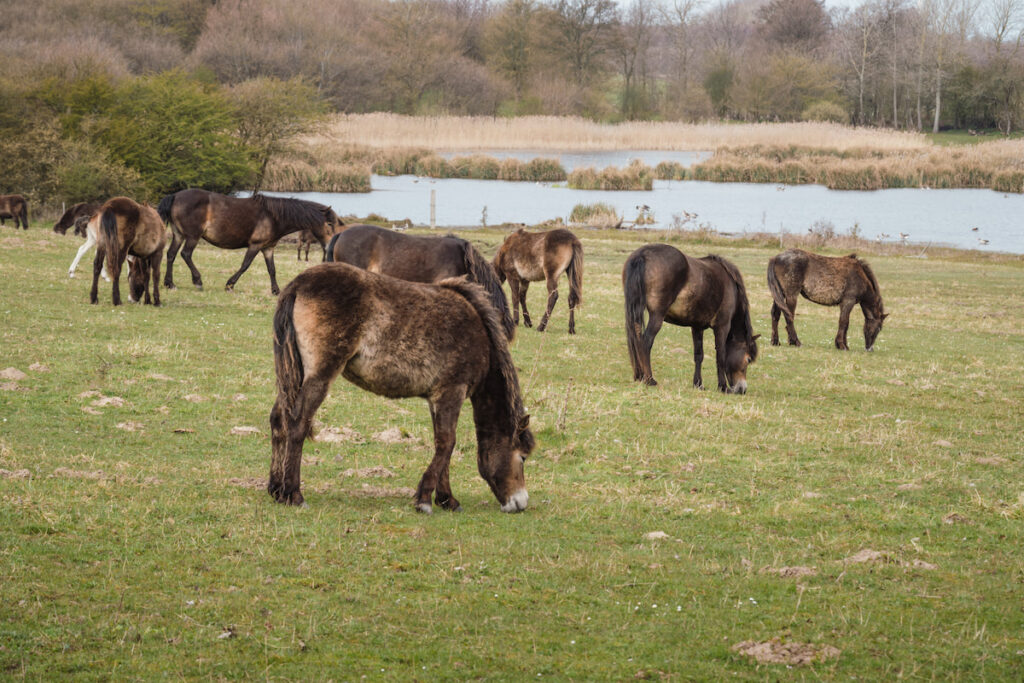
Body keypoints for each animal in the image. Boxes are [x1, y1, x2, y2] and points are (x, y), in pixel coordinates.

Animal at [156, 189, 331, 294]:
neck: (273, 217)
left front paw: (276, 291)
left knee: (171, 255)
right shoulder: (255, 245)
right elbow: (245, 265)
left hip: (179, 235)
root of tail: (175, 196)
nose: (329, 247)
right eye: (329, 225)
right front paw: (230, 285)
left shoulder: (268, 248)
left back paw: (170, 284)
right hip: (193, 236)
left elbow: (272, 269)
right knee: (186, 254)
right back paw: (197, 281)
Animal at [270, 262, 536, 511]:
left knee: (279, 420)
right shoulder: (452, 392)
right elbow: (447, 443)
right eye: (522, 457)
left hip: (296, 375)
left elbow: (442, 444)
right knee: (298, 423)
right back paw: (293, 494)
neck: (480, 336)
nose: (520, 502)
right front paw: (425, 499)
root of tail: (298, 284)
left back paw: (276, 489)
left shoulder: (436, 398)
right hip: (320, 375)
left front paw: (447, 499)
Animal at [618, 244, 757, 395]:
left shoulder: (697, 326)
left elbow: (698, 355)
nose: (742, 389)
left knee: (636, 339)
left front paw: (698, 384)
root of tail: (642, 255)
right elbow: (720, 356)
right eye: (748, 359)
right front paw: (722, 386)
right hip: (657, 316)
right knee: (645, 341)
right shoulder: (722, 327)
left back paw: (639, 376)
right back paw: (649, 379)